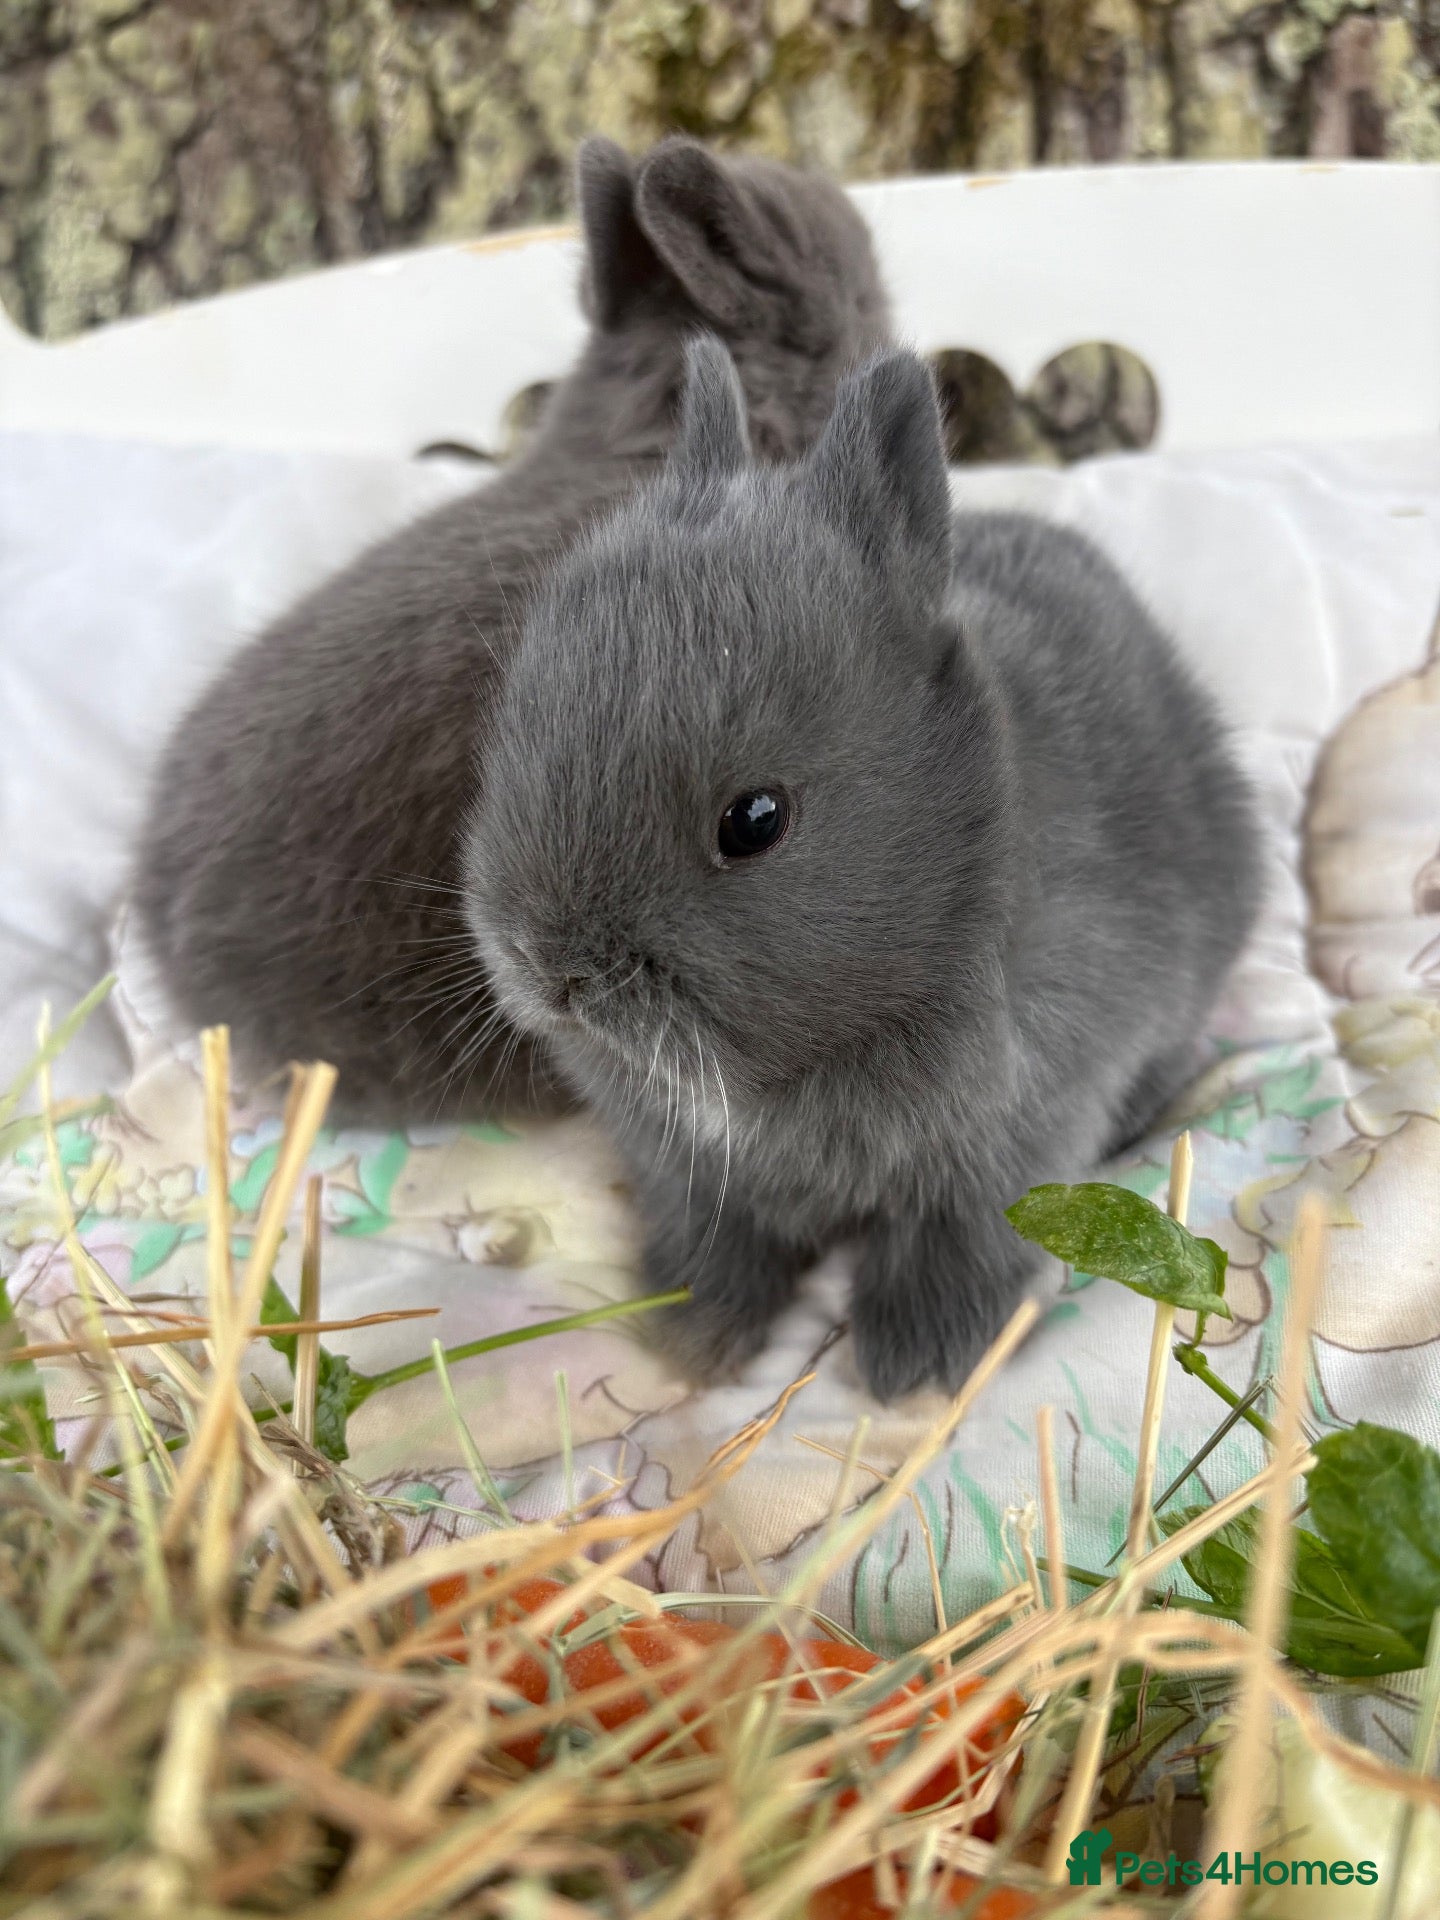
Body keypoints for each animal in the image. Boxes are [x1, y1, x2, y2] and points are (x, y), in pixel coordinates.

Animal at [463, 339, 1263, 1401]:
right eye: (517, 718)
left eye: (755, 820)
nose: (552, 969)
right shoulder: (690, 1169)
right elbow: (718, 1239)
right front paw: (696, 1338)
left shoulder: (1011, 1142)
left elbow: (956, 1242)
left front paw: (920, 1369)